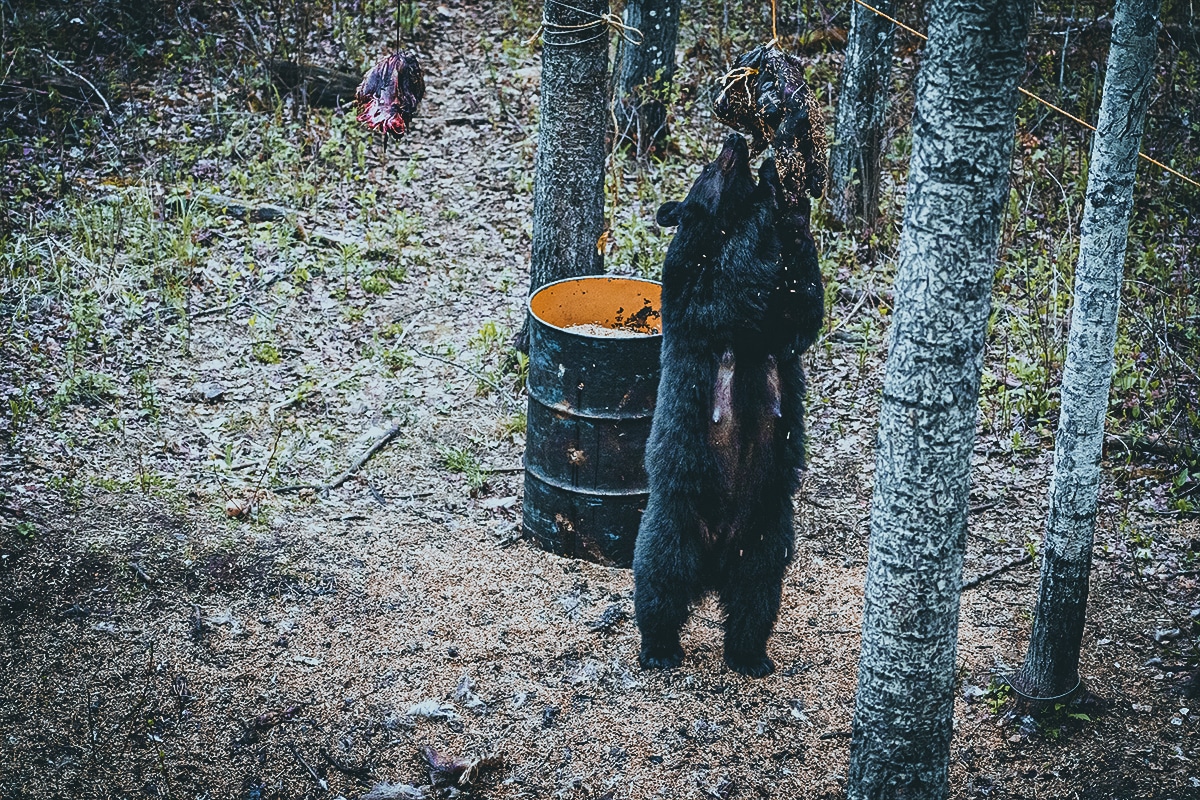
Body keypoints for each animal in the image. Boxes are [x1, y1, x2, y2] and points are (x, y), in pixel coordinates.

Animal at [628, 134, 825, 681]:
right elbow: (730, 280)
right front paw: (773, 189)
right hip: (676, 519)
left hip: (765, 535)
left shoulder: (778, 331)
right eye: (709, 168)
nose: (736, 139)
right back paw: (660, 647)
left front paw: (793, 206)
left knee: (757, 597)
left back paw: (750, 655)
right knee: (660, 581)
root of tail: (716, 560)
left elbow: (801, 308)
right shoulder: (690, 288)